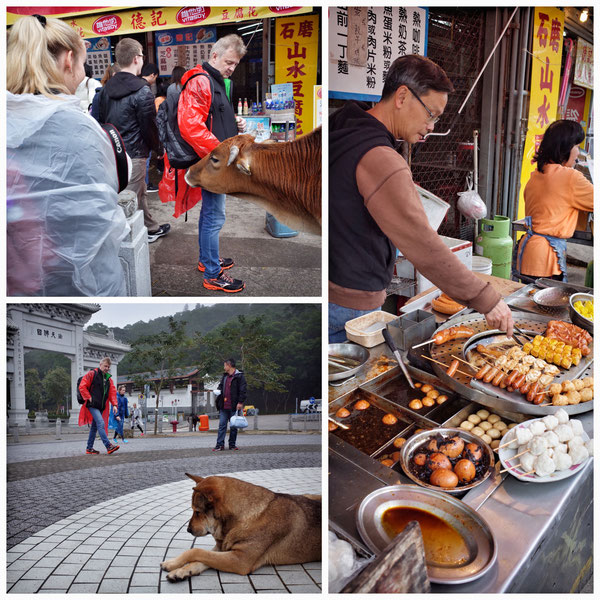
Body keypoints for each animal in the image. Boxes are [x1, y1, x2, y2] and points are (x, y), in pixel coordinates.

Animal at [158, 474, 318, 580]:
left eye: (197, 512)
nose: (188, 530)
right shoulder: (224, 549)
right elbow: (199, 558)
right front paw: (182, 569)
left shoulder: (240, 560)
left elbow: (196, 551)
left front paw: (174, 563)